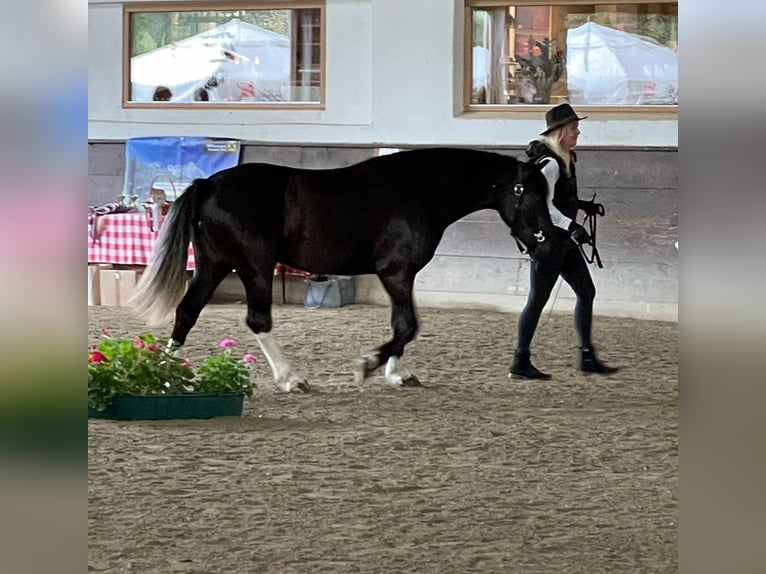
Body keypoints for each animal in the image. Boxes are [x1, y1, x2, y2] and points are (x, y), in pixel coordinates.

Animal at [134, 147, 560, 392]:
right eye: (531, 194)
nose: (546, 242)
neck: (419, 189)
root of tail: (206, 184)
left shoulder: (402, 276)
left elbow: (403, 324)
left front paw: (397, 374)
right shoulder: (395, 272)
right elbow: (407, 325)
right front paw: (367, 366)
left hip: (214, 264)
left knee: (187, 312)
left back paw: (165, 376)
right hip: (253, 266)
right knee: (257, 320)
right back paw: (290, 379)